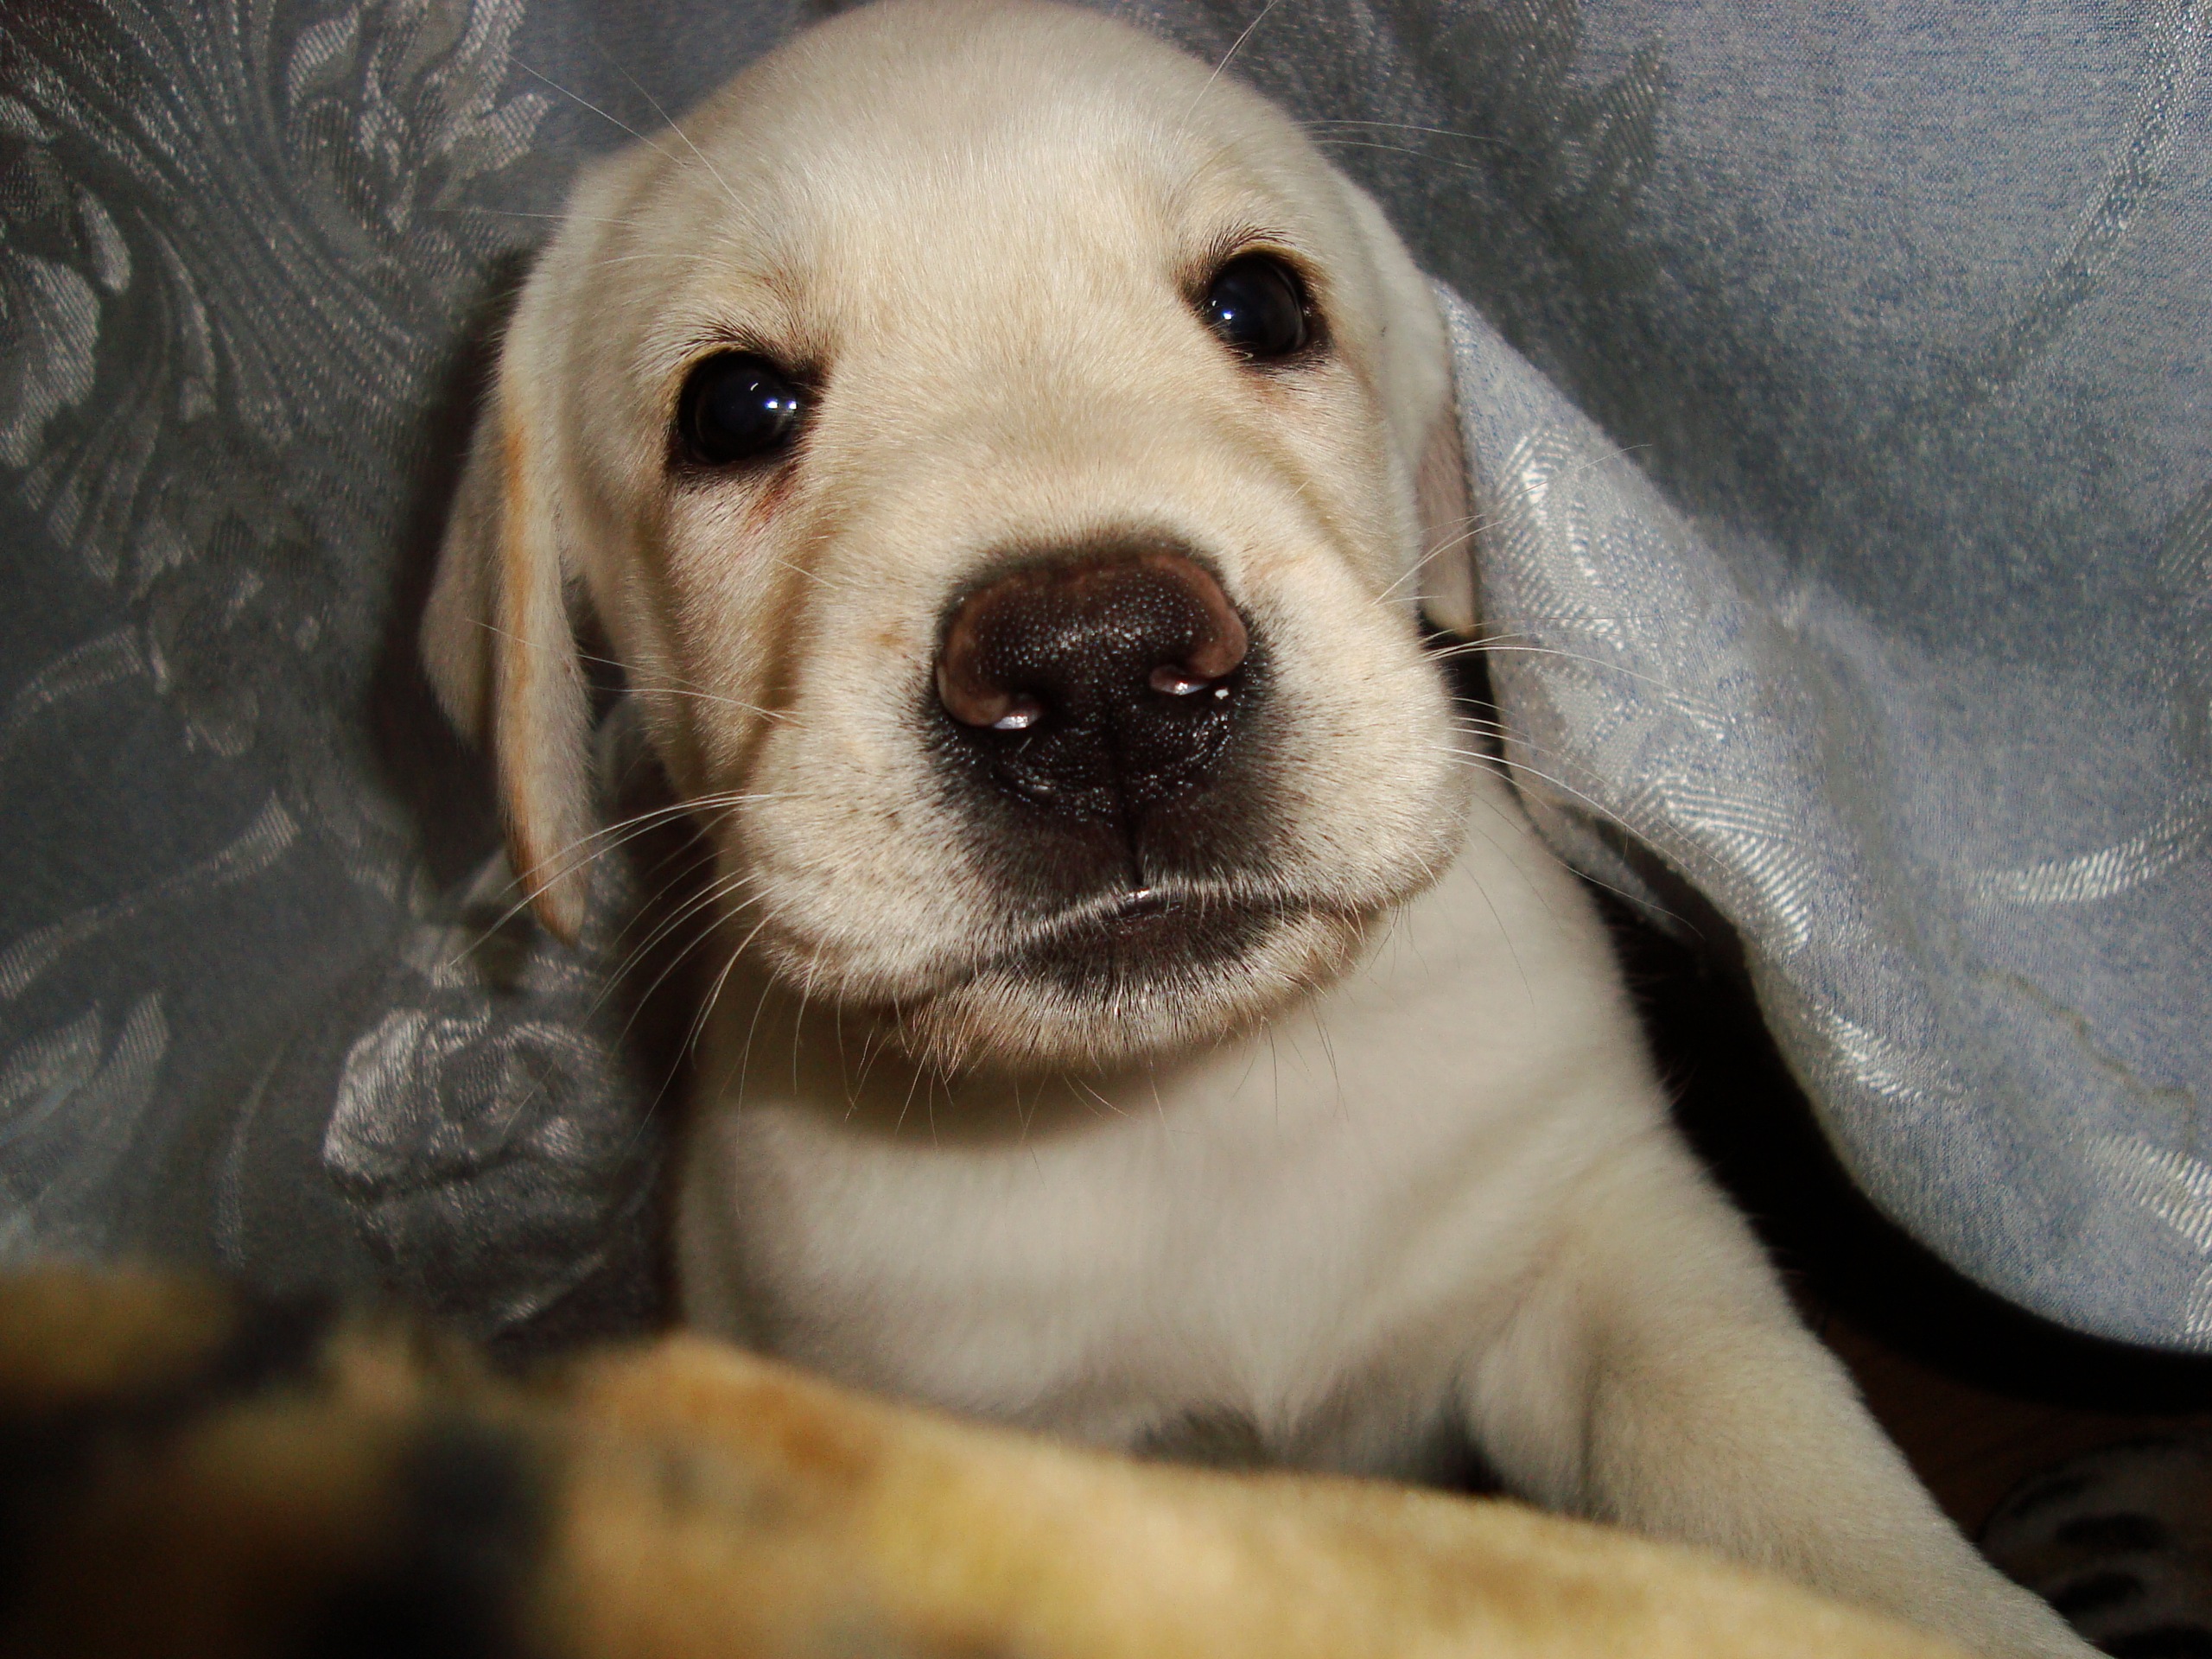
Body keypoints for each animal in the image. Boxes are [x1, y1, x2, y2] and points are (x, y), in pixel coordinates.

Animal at [422, 4, 2093, 1654]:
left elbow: (1780, 1481)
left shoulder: (1600, 1240)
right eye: (732, 409)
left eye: (1263, 306)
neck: (1189, 1107)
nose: (1097, 673)